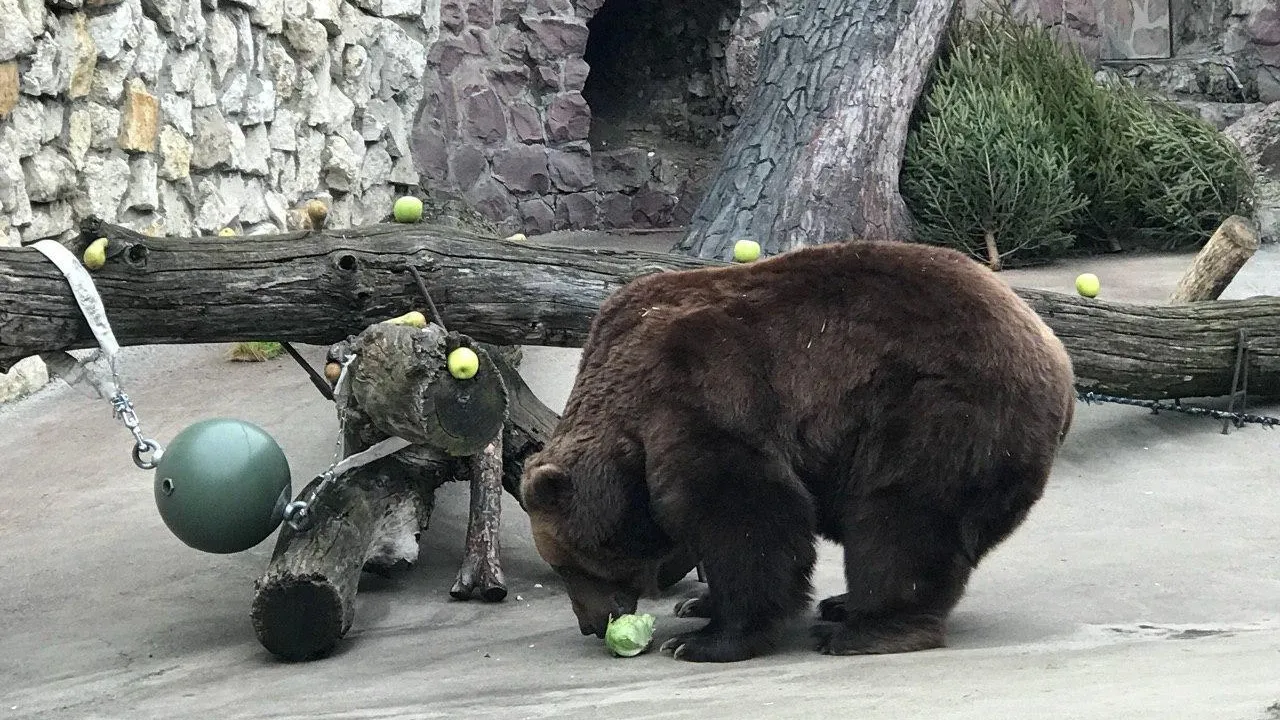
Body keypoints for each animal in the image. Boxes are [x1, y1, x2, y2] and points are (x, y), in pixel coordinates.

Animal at [514, 239, 1075, 661]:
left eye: (570, 566)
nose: (592, 623)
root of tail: (1057, 357)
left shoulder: (700, 395)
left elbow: (748, 512)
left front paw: (704, 641)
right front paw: (697, 606)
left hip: (939, 409)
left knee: (902, 516)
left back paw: (861, 628)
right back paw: (844, 606)